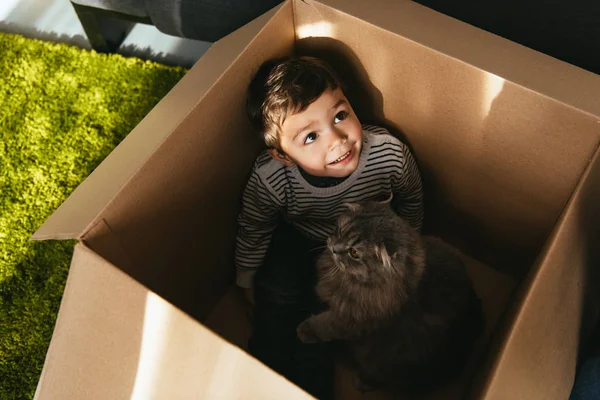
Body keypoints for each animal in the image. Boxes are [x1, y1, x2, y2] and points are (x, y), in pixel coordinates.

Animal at [298, 198, 486, 392]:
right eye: (340, 231)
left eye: (354, 253)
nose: (334, 249)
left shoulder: (353, 320)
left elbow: (324, 325)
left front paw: (304, 331)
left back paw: (362, 383)